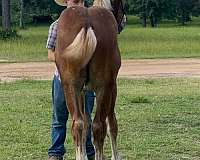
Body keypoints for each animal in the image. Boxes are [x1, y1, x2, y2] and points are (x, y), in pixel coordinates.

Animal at [55, 0, 125, 159]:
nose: (123, 20)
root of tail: (86, 23)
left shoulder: (82, 91)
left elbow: (85, 121)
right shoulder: (113, 87)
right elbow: (112, 123)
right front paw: (115, 155)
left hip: (70, 86)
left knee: (78, 123)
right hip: (103, 87)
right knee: (99, 125)